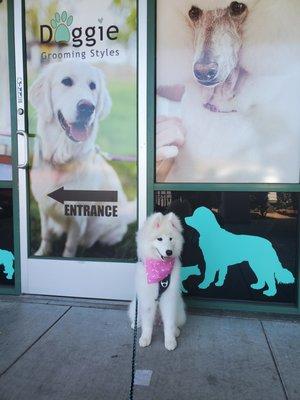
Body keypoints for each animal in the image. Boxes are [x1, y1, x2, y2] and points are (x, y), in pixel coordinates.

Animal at [128, 212, 185, 350]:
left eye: (170, 239)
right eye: (159, 239)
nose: (169, 252)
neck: (159, 269)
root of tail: (158, 321)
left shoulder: (169, 298)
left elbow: (169, 323)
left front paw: (170, 341)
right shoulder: (147, 299)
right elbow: (147, 324)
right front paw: (145, 338)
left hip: (179, 307)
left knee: (174, 323)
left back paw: (176, 331)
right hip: (135, 305)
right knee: (139, 318)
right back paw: (136, 324)